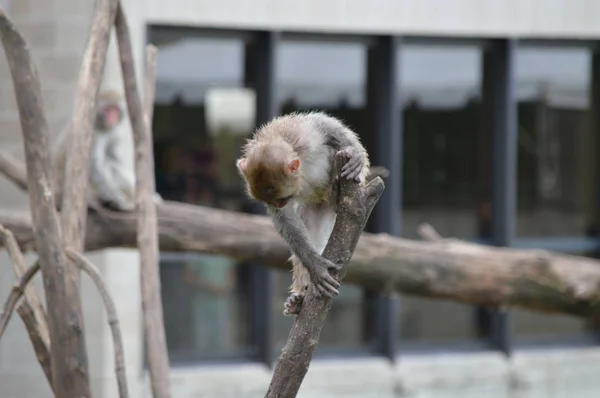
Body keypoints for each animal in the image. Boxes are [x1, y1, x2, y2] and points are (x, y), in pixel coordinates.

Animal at [236, 110, 370, 316]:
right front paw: (315, 266)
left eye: (283, 198)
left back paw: (337, 193)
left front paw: (355, 154)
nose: (279, 204)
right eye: (272, 202)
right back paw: (298, 299)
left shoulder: (306, 136)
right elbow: (286, 221)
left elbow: (328, 127)